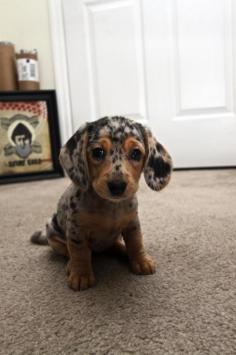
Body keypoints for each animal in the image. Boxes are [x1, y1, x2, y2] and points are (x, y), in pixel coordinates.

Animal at [30, 117, 171, 292]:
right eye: (98, 152)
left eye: (136, 153)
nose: (117, 186)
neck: (110, 206)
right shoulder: (77, 230)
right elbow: (79, 252)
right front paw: (81, 274)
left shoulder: (132, 224)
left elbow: (136, 243)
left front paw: (141, 260)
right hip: (53, 233)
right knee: (68, 251)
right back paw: (71, 265)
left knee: (115, 245)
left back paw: (123, 251)